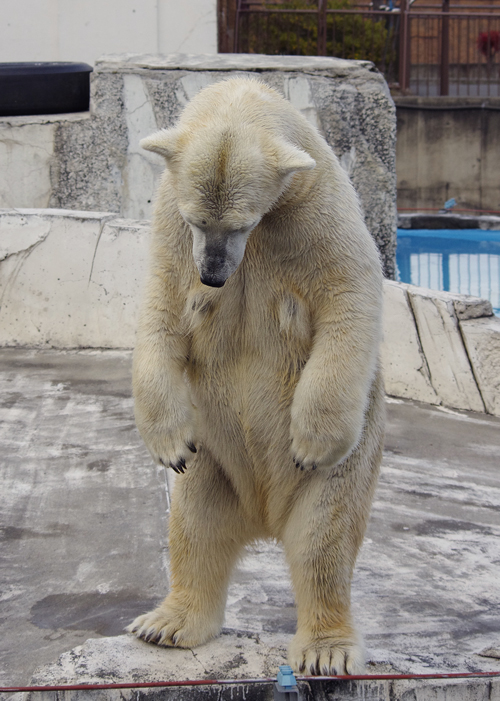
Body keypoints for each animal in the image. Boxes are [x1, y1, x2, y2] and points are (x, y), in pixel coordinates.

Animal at [127, 79, 384, 676]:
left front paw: (311, 441)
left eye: (242, 224)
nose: (214, 275)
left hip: (349, 466)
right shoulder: (169, 222)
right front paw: (165, 442)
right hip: (213, 457)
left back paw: (325, 649)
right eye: (199, 221)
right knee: (194, 525)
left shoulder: (314, 205)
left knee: (323, 537)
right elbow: (162, 307)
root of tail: (264, 515)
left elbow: (349, 290)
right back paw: (167, 623)